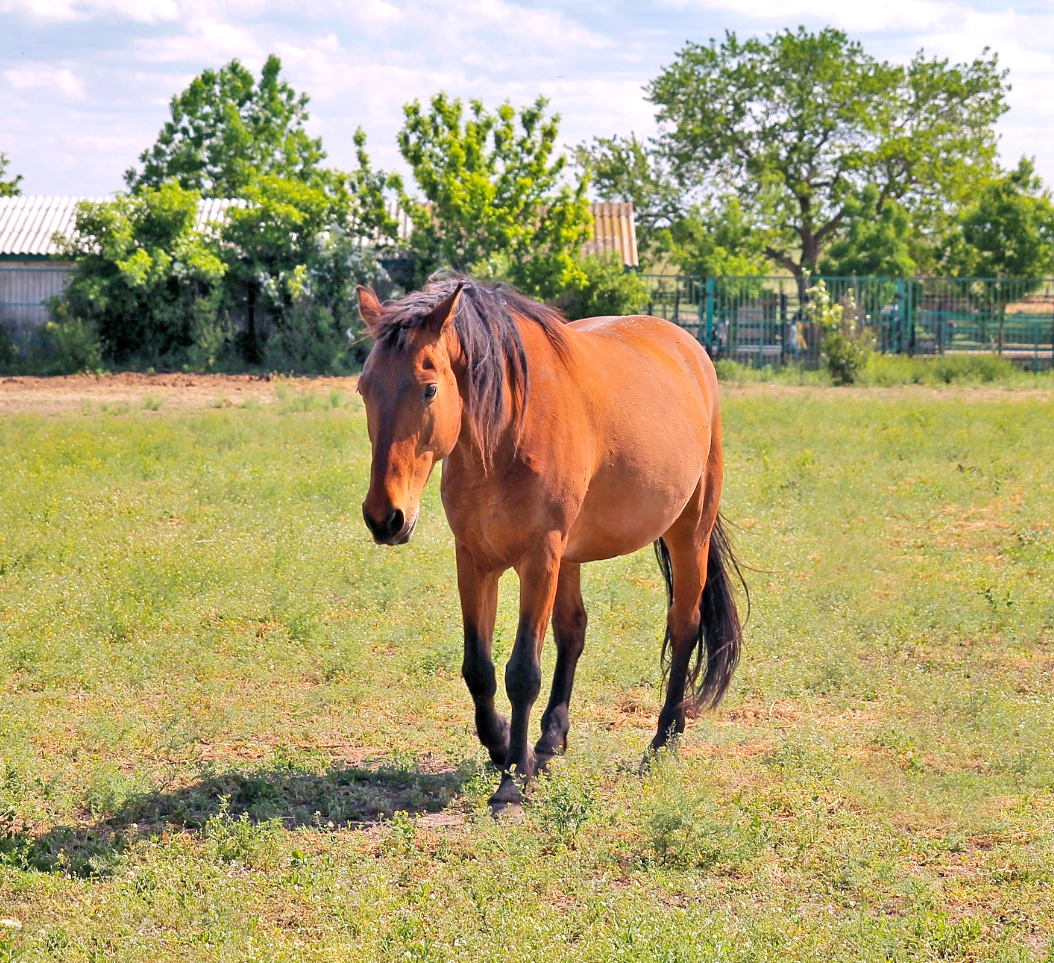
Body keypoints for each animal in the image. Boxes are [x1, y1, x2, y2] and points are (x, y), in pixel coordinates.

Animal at [358, 278, 746, 809]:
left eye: (429, 388)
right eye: (364, 389)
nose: (385, 518)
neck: (505, 433)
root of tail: (686, 345)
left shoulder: (538, 559)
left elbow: (522, 672)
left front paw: (510, 782)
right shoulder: (475, 560)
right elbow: (478, 668)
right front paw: (504, 745)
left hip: (689, 533)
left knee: (684, 626)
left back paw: (662, 741)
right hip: (572, 556)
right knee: (573, 630)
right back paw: (549, 741)